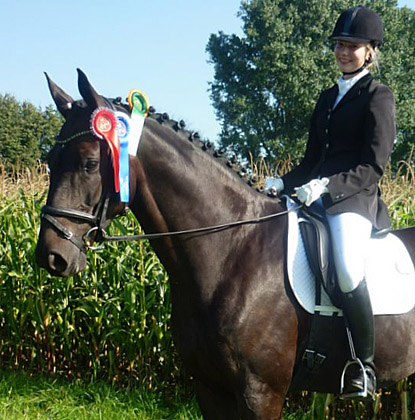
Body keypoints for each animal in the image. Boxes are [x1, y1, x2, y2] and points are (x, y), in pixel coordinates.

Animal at [35, 67, 415, 418]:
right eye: (50, 161)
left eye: (90, 163)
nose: (51, 256)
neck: (232, 250)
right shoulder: (210, 388)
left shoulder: (261, 393)